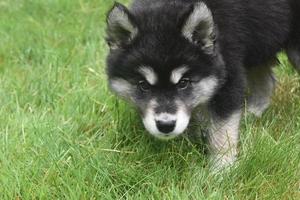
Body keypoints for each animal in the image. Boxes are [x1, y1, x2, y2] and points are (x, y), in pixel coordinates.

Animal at [104, 0, 298, 168]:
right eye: (143, 85)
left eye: (183, 83)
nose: (166, 125)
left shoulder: (229, 80)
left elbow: (222, 130)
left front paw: (221, 169)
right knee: (266, 81)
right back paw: (251, 113)